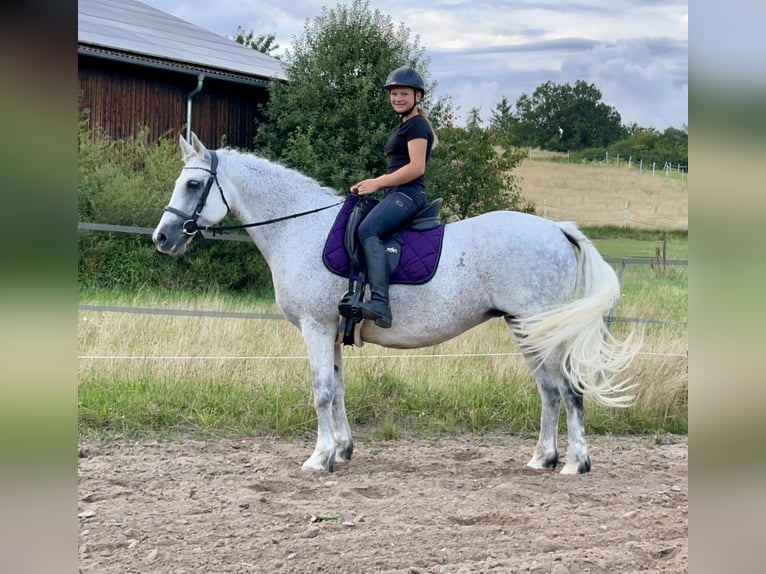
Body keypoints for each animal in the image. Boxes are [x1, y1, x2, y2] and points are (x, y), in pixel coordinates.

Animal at [152, 135, 640, 476]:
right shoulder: (333, 331)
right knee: (549, 390)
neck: (300, 230)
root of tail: (556, 229)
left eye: (193, 184)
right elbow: (338, 389)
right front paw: (342, 452)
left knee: (568, 389)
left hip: (542, 326)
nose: (162, 238)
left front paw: (318, 459)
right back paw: (543, 458)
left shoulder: (315, 326)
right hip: (526, 327)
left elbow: (321, 391)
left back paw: (576, 463)